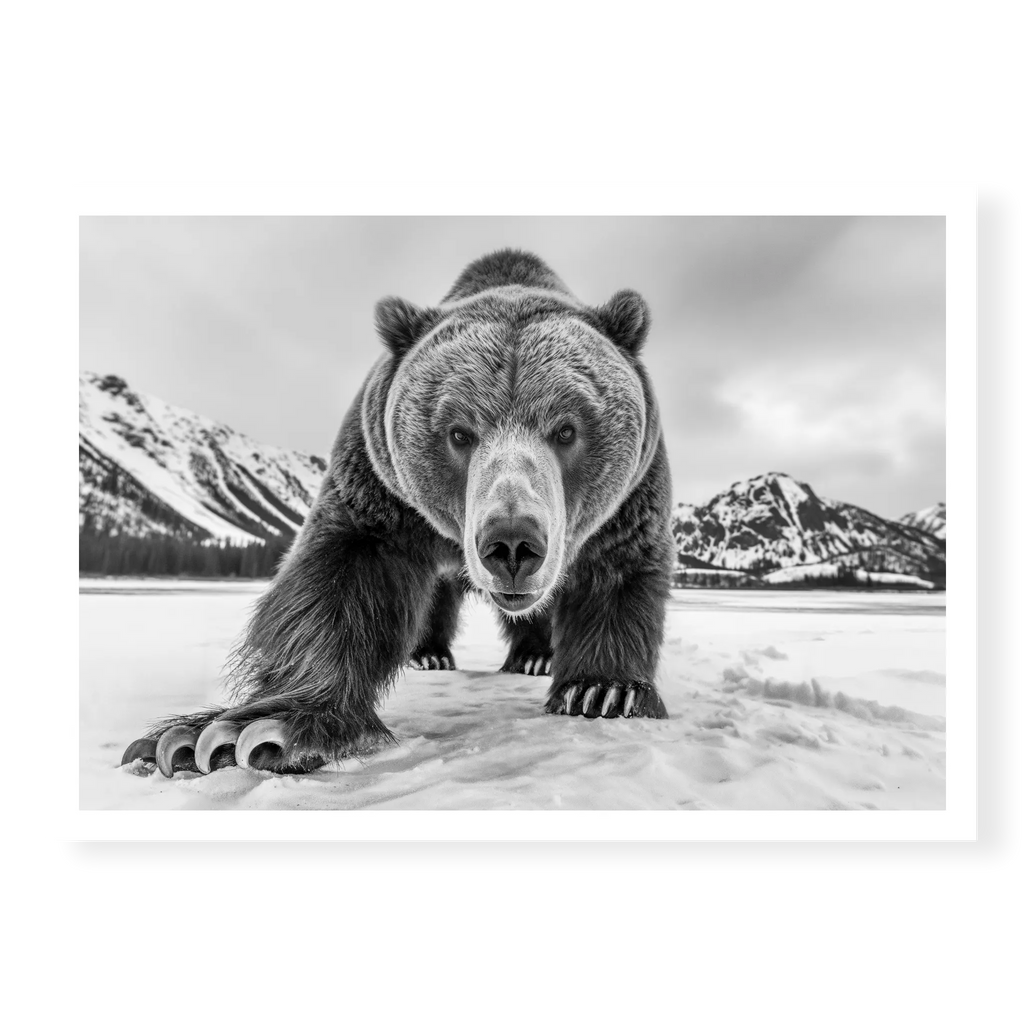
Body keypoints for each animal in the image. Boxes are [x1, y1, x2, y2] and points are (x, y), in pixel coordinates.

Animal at [120, 249, 674, 777]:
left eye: (566, 429)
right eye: (459, 432)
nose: (513, 542)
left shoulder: (626, 505)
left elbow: (615, 576)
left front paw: (602, 691)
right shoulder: (380, 493)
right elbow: (342, 583)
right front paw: (225, 736)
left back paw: (536, 657)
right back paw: (430, 653)